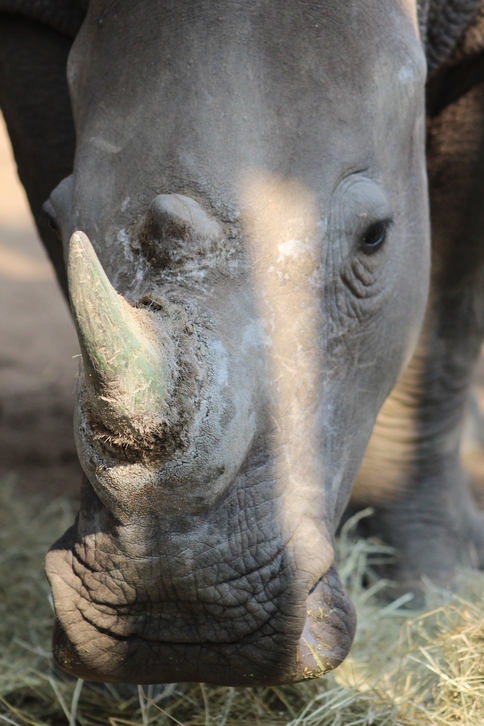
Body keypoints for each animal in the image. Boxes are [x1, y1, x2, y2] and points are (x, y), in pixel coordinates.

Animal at [1, 0, 484, 687]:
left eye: (375, 237)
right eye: (50, 216)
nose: (184, 621)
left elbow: (443, 316)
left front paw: (433, 586)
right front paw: (147, 686)